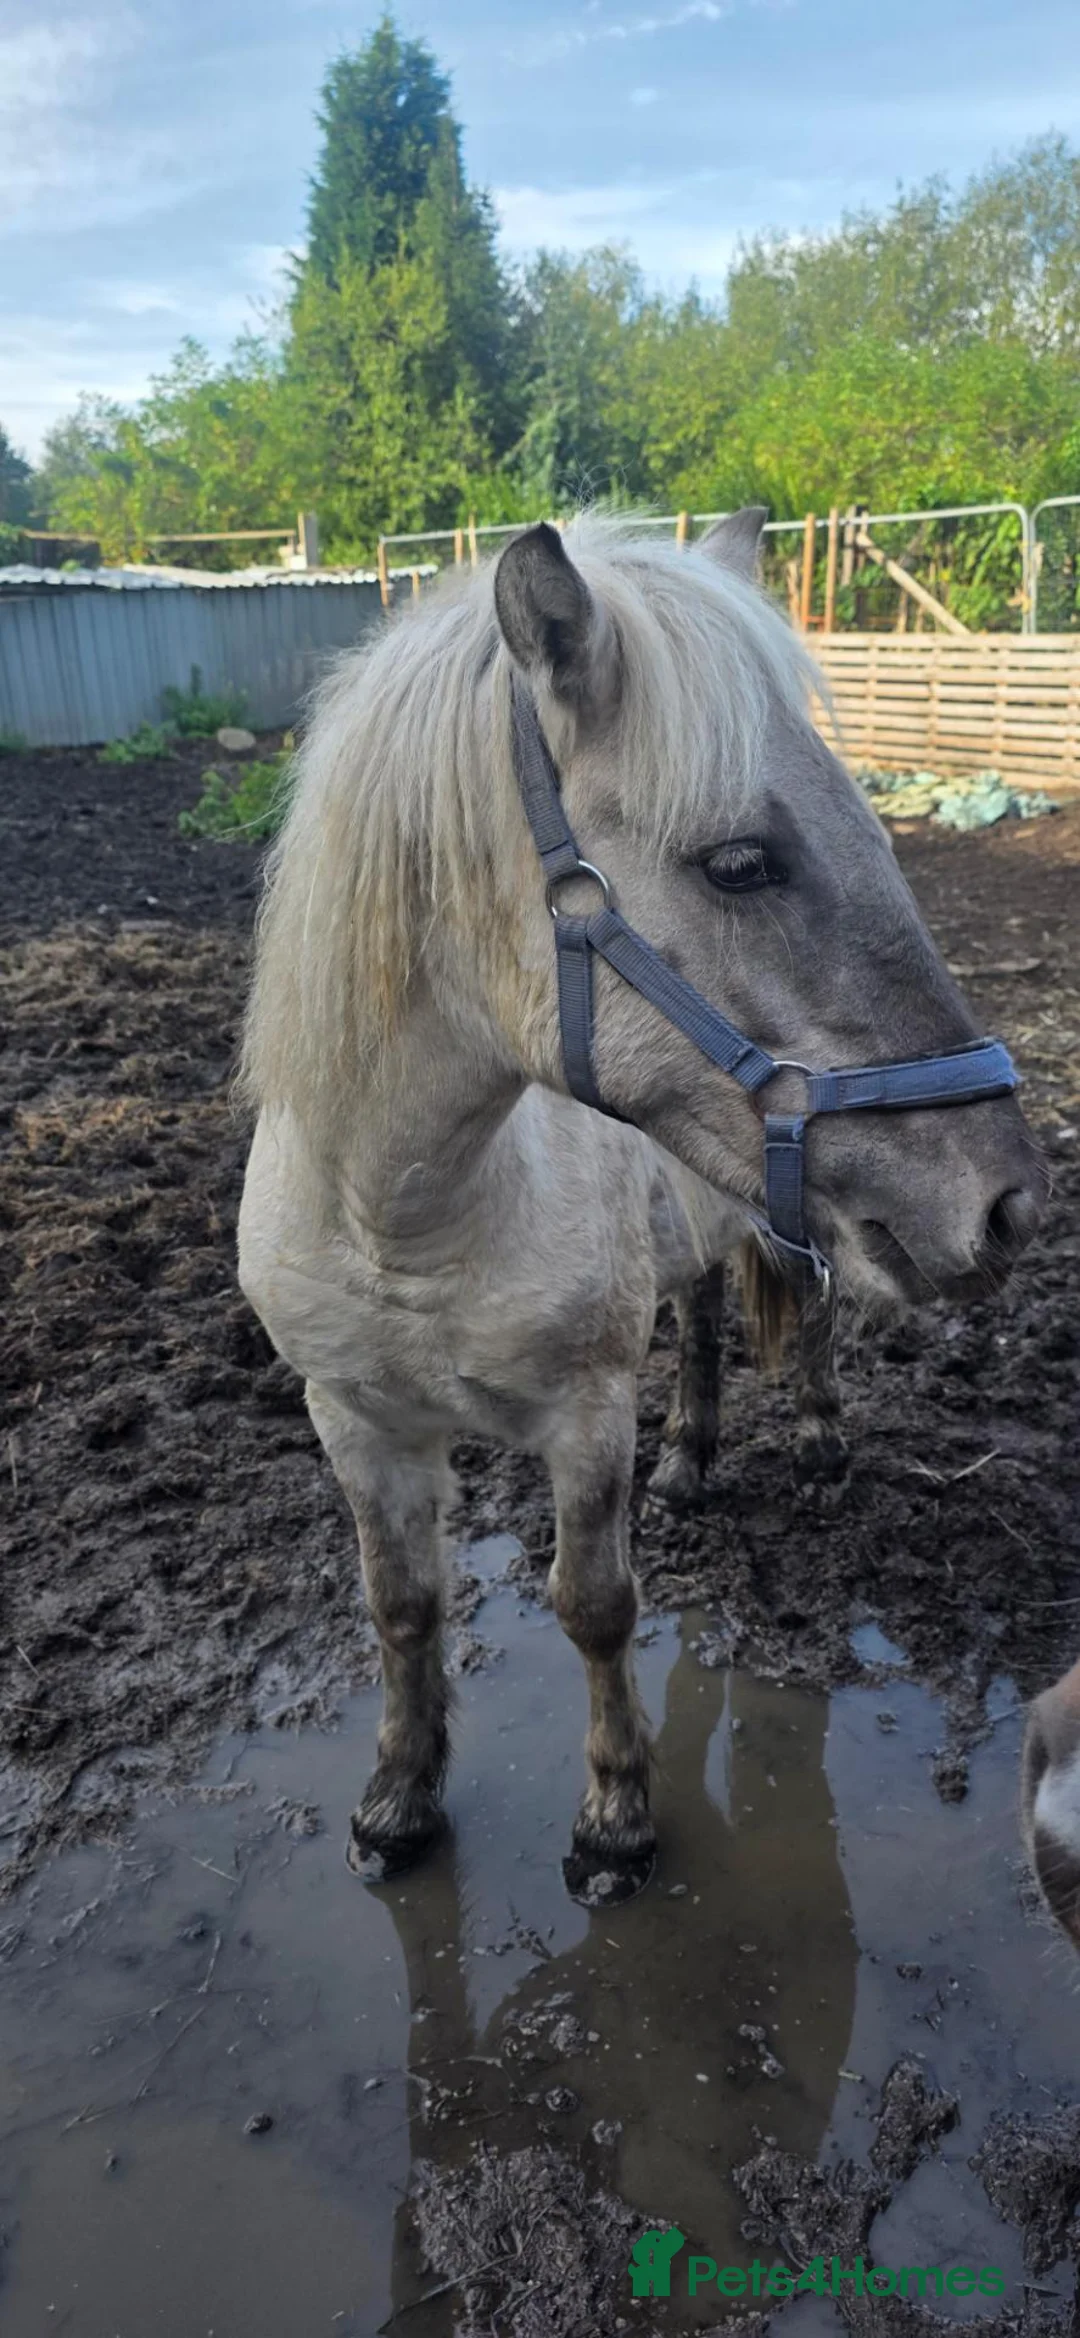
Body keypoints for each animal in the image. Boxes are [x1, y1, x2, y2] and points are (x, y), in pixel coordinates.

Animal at [237, 509, 1045, 1907]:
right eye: (741, 863)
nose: (1005, 1201)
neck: (406, 1217)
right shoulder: (354, 1420)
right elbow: (402, 1607)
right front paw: (398, 1801)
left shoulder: (584, 1413)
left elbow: (596, 1606)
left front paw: (614, 1819)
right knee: (709, 1315)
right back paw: (692, 1457)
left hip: (787, 1221)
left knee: (803, 1313)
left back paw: (816, 1440)